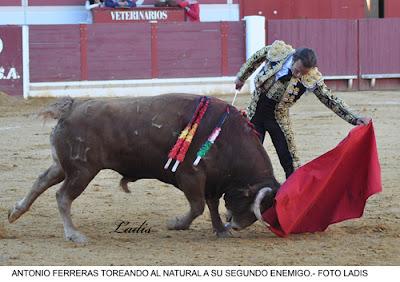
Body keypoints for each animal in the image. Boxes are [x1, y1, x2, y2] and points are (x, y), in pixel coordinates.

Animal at [7, 94, 280, 242]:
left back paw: (15, 212)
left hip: (65, 167)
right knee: (62, 196)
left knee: (42, 181)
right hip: (82, 171)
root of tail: (72, 107)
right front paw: (176, 224)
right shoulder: (190, 176)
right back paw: (74, 235)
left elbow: (211, 205)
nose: (237, 225)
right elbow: (197, 206)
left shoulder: (212, 181)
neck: (228, 137)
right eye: (253, 203)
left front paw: (220, 230)